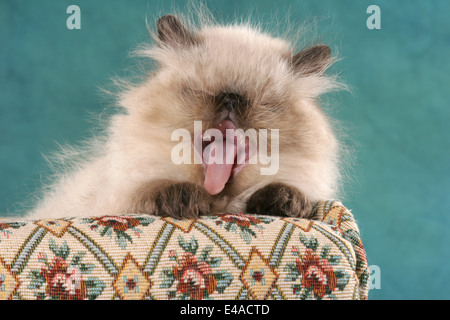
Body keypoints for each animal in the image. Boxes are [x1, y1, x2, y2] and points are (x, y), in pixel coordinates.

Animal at [26, 14, 342, 220]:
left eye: (266, 103)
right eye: (199, 92)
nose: (230, 99)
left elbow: (287, 189)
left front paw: (284, 201)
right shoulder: (116, 199)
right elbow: (150, 190)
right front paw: (184, 200)